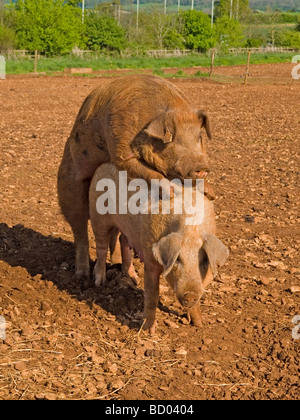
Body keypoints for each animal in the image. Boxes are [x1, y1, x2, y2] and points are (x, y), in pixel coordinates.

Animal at [57, 74, 213, 282]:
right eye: (171, 138)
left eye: (199, 137)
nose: (202, 167)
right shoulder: (121, 151)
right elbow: (151, 173)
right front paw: (172, 191)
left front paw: (210, 193)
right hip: (69, 187)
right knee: (80, 230)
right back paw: (82, 276)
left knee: (117, 233)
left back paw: (127, 273)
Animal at [88, 162, 229, 334]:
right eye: (178, 260)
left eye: (203, 261)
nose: (189, 294)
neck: (191, 230)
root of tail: (103, 165)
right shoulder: (150, 257)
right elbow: (152, 295)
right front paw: (149, 331)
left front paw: (199, 324)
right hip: (98, 216)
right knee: (101, 248)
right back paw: (100, 282)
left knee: (122, 240)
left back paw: (133, 278)